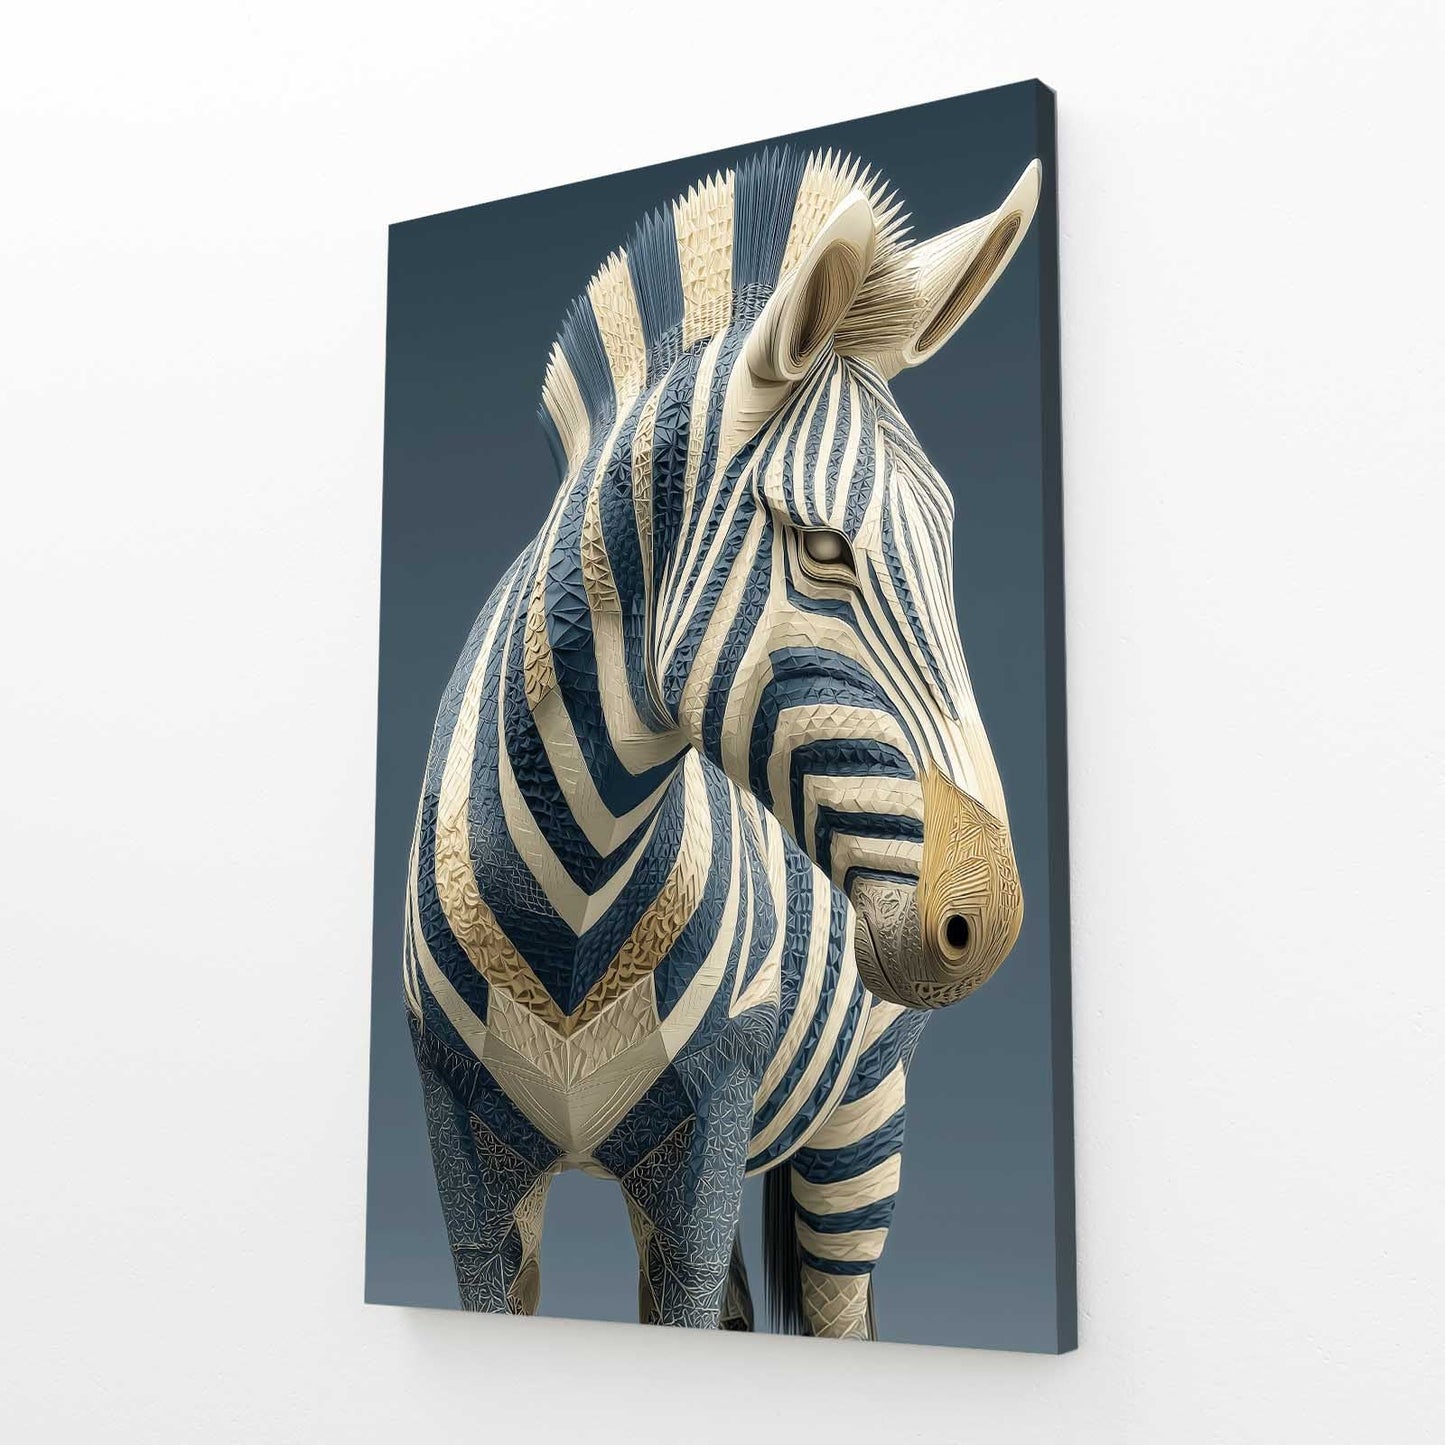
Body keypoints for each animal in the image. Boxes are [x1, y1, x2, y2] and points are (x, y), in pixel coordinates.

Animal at [402, 146, 1039, 1338]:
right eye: (823, 548)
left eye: (945, 539)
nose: (985, 923)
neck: (576, 886)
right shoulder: (466, 1145)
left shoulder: (703, 1125)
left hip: (860, 1118)